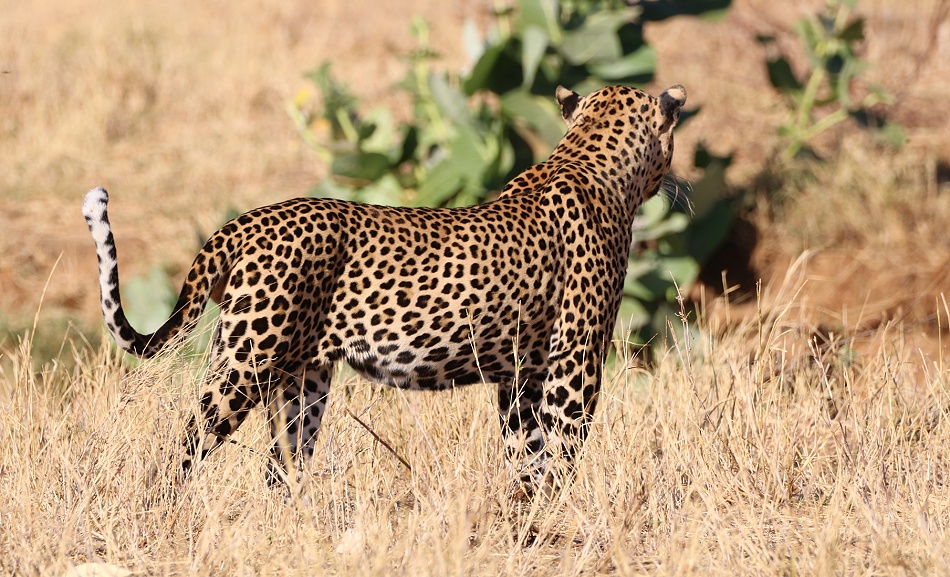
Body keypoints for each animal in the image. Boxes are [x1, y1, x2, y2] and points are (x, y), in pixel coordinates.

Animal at [82, 83, 686, 493]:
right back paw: (164, 511)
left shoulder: (522, 374)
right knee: (186, 446)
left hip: (301, 380)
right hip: (245, 358)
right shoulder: (574, 367)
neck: (589, 157)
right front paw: (557, 517)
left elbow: (526, 455)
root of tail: (240, 223)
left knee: (279, 466)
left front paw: (524, 516)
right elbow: (561, 455)